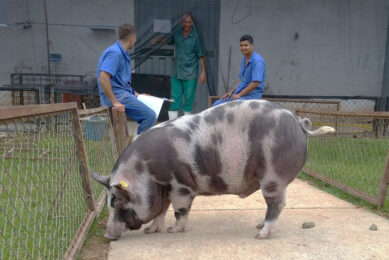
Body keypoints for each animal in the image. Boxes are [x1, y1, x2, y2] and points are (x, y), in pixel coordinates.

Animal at [91, 99, 334, 240]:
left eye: (119, 204)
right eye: (109, 204)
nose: (108, 235)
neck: (145, 172)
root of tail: (299, 122)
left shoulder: (182, 187)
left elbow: (179, 211)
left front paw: (173, 231)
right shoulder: (164, 190)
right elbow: (161, 210)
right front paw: (152, 231)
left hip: (273, 176)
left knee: (277, 204)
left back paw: (260, 235)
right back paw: (258, 225)